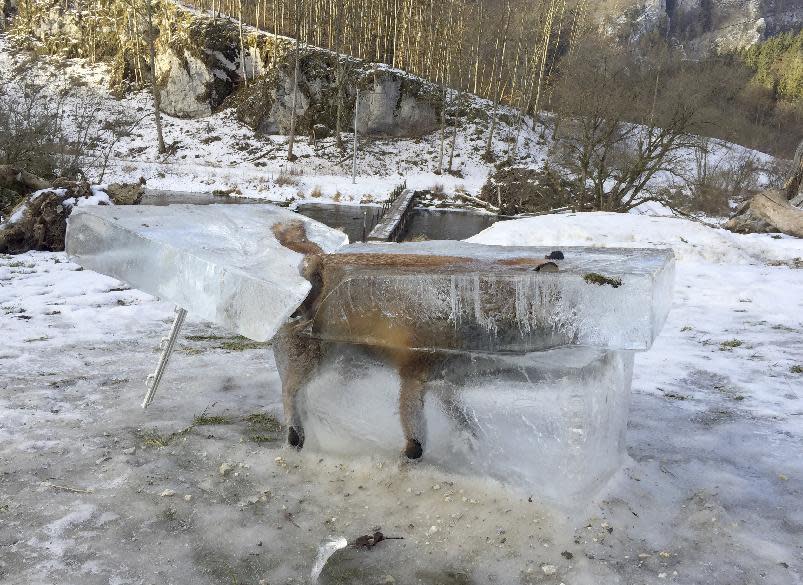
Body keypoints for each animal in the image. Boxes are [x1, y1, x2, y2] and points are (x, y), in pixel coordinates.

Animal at [270, 221, 560, 458]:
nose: (556, 254)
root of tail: (321, 259)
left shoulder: (445, 379)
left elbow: (461, 416)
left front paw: (468, 440)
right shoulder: (414, 372)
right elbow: (416, 434)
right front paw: (411, 456)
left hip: (347, 362)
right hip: (316, 358)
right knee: (290, 390)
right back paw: (296, 433)